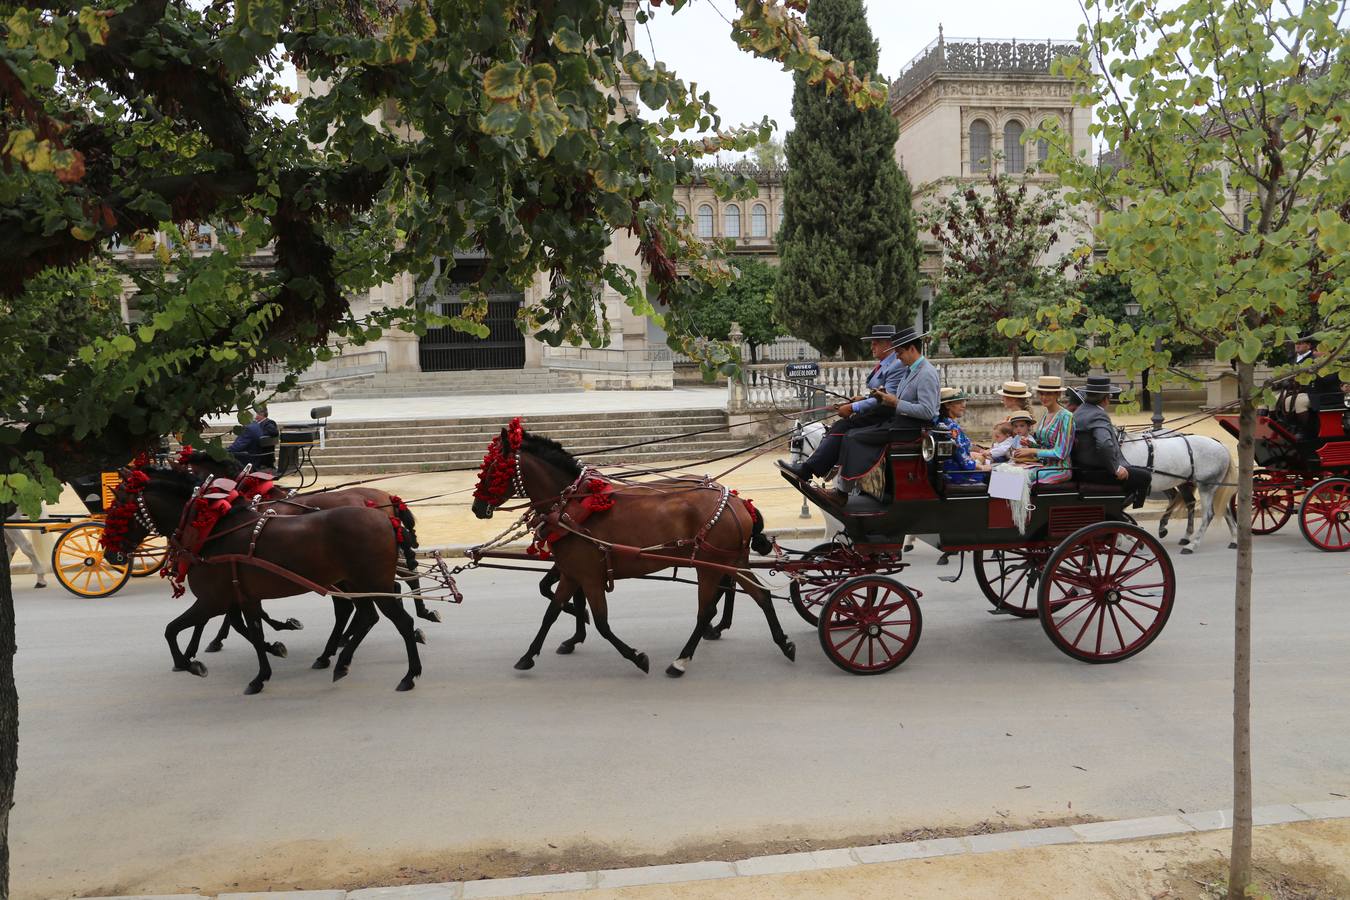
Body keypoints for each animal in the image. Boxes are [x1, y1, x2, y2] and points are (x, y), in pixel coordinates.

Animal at [105, 469, 421, 696]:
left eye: (118, 507)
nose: (110, 554)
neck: (209, 530)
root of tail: (385, 516)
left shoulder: (213, 600)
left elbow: (172, 629)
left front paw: (189, 662)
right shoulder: (243, 597)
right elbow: (251, 631)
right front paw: (263, 669)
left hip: (369, 581)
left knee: (399, 620)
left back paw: (408, 673)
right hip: (356, 583)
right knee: (367, 615)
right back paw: (340, 660)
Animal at [472, 426, 788, 680]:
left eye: (492, 469)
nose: (477, 507)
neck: (572, 504)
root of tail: (736, 501)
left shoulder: (589, 576)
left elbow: (601, 623)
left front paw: (637, 657)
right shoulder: (573, 573)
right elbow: (550, 613)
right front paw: (529, 656)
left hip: (709, 564)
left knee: (706, 610)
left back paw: (681, 660)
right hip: (733, 560)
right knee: (761, 596)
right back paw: (784, 643)